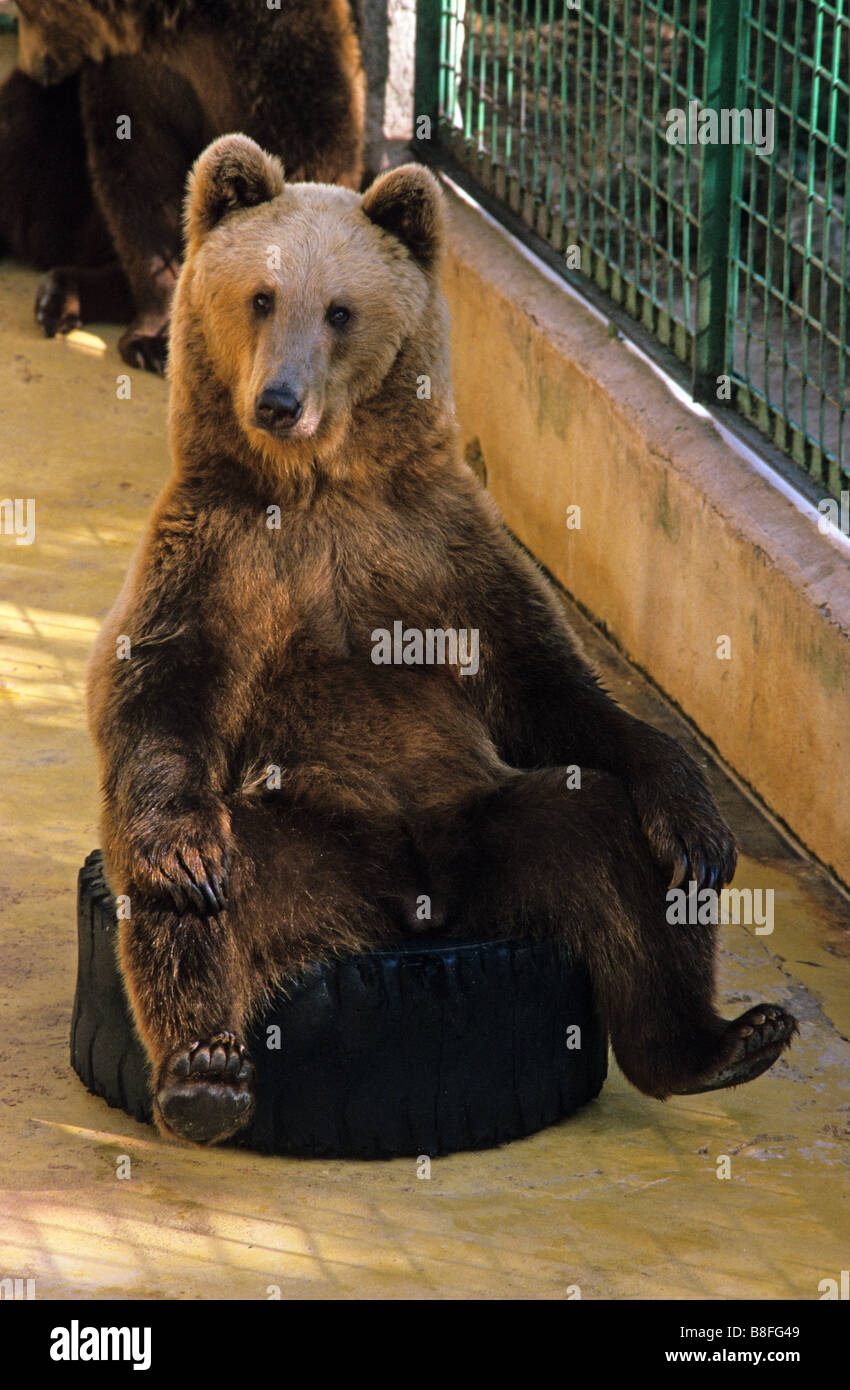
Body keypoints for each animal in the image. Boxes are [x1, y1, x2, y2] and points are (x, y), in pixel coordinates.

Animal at [0, 0, 361, 372]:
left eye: (24, 11)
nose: (33, 64)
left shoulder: (284, 57)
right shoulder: (134, 77)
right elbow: (141, 186)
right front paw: (153, 339)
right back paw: (56, 296)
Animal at [86, 135, 794, 1145]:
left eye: (340, 310)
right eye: (261, 295)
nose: (278, 401)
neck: (321, 485)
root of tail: (412, 912)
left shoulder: (441, 547)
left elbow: (551, 685)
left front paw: (695, 818)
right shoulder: (218, 554)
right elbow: (160, 690)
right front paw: (183, 856)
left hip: (485, 818)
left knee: (608, 842)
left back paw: (723, 1041)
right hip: (304, 840)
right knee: (202, 901)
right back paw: (205, 1072)